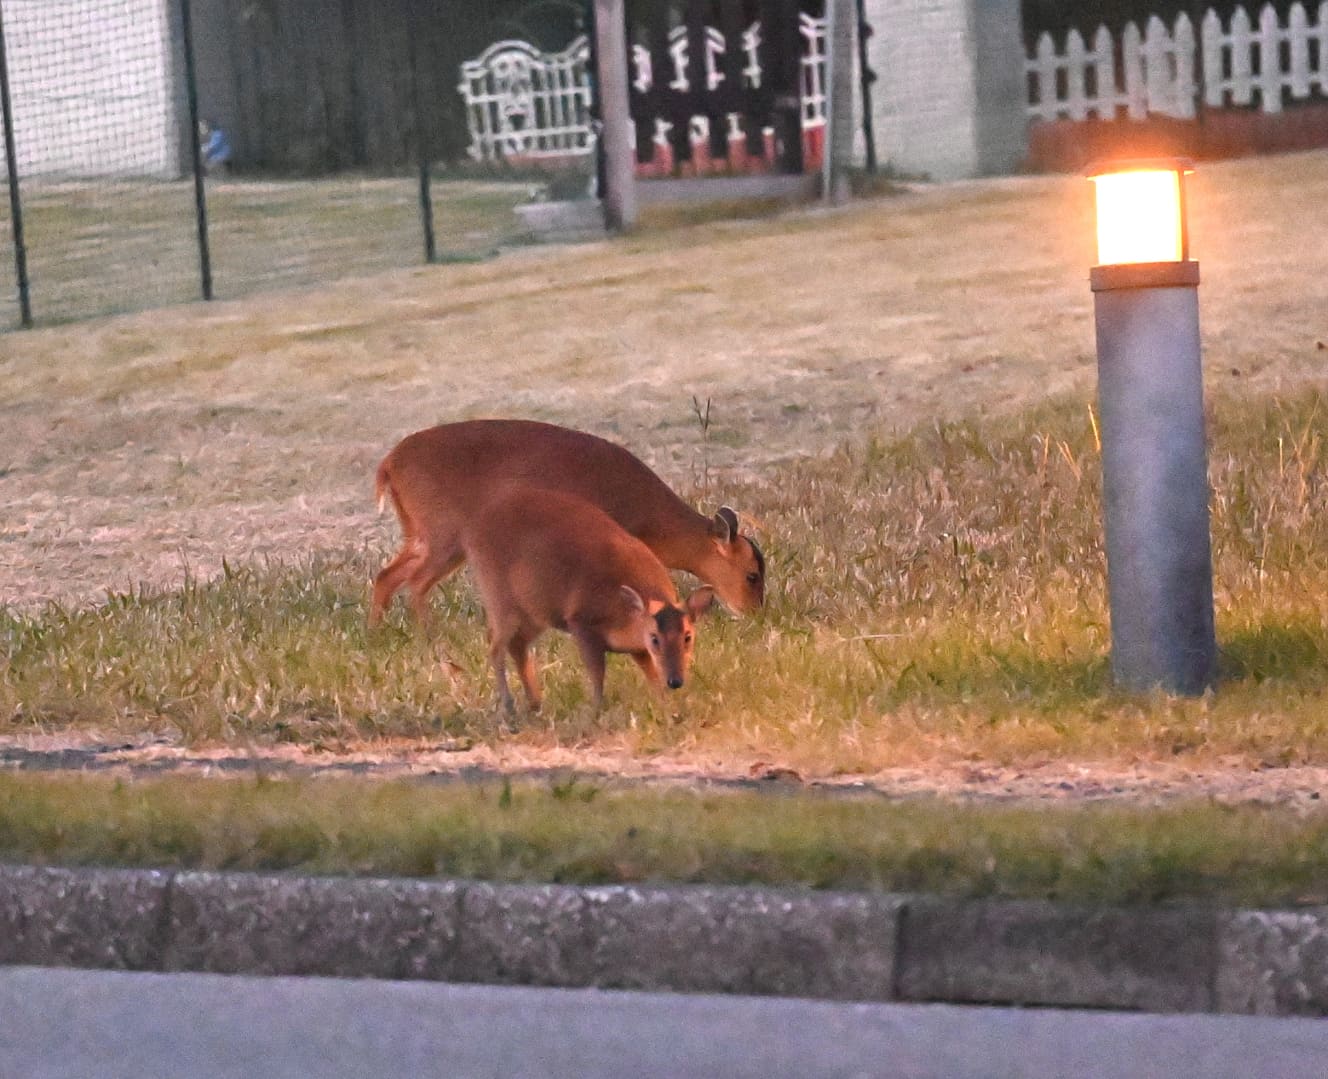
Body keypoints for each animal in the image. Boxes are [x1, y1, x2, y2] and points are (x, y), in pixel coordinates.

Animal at [374, 417, 764, 627]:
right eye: (752, 575)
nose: (755, 613)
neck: (648, 515)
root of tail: (388, 464)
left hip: (423, 535)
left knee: (386, 576)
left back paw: (379, 633)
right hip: (445, 534)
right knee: (416, 583)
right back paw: (428, 638)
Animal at [462, 483, 722, 712]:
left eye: (688, 636)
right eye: (655, 638)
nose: (676, 681)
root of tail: (474, 529)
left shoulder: (638, 648)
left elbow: (651, 674)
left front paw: (665, 707)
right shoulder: (581, 620)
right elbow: (597, 673)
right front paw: (596, 710)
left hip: (535, 610)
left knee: (517, 644)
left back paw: (535, 703)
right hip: (498, 594)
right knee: (495, 646)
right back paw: (509, 707)